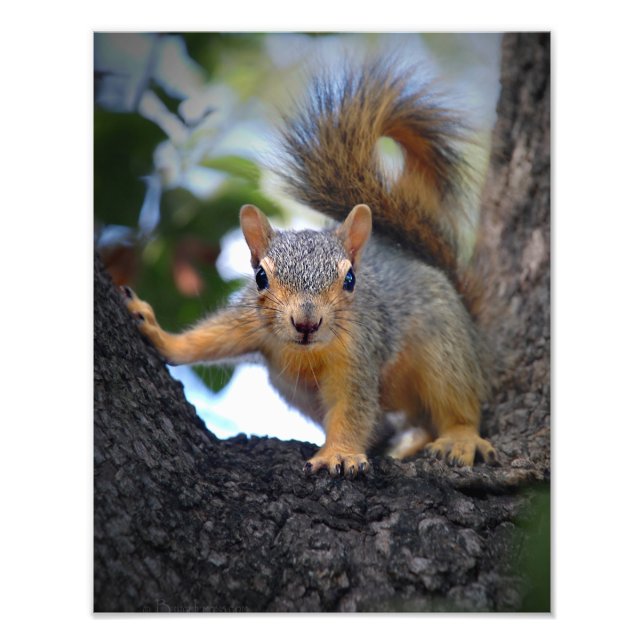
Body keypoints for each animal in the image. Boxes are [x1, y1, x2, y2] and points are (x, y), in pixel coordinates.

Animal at [122, 59, 498, 477]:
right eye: (260, 277)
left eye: (350, 279)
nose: (306, 323)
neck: (307, 353)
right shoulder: (250, 323)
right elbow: (209, 338)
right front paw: (157, 333)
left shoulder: (358, 353)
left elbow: (352, 409)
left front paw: (340, 453)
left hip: (446, 348)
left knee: (455, 402)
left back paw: (459, 438)